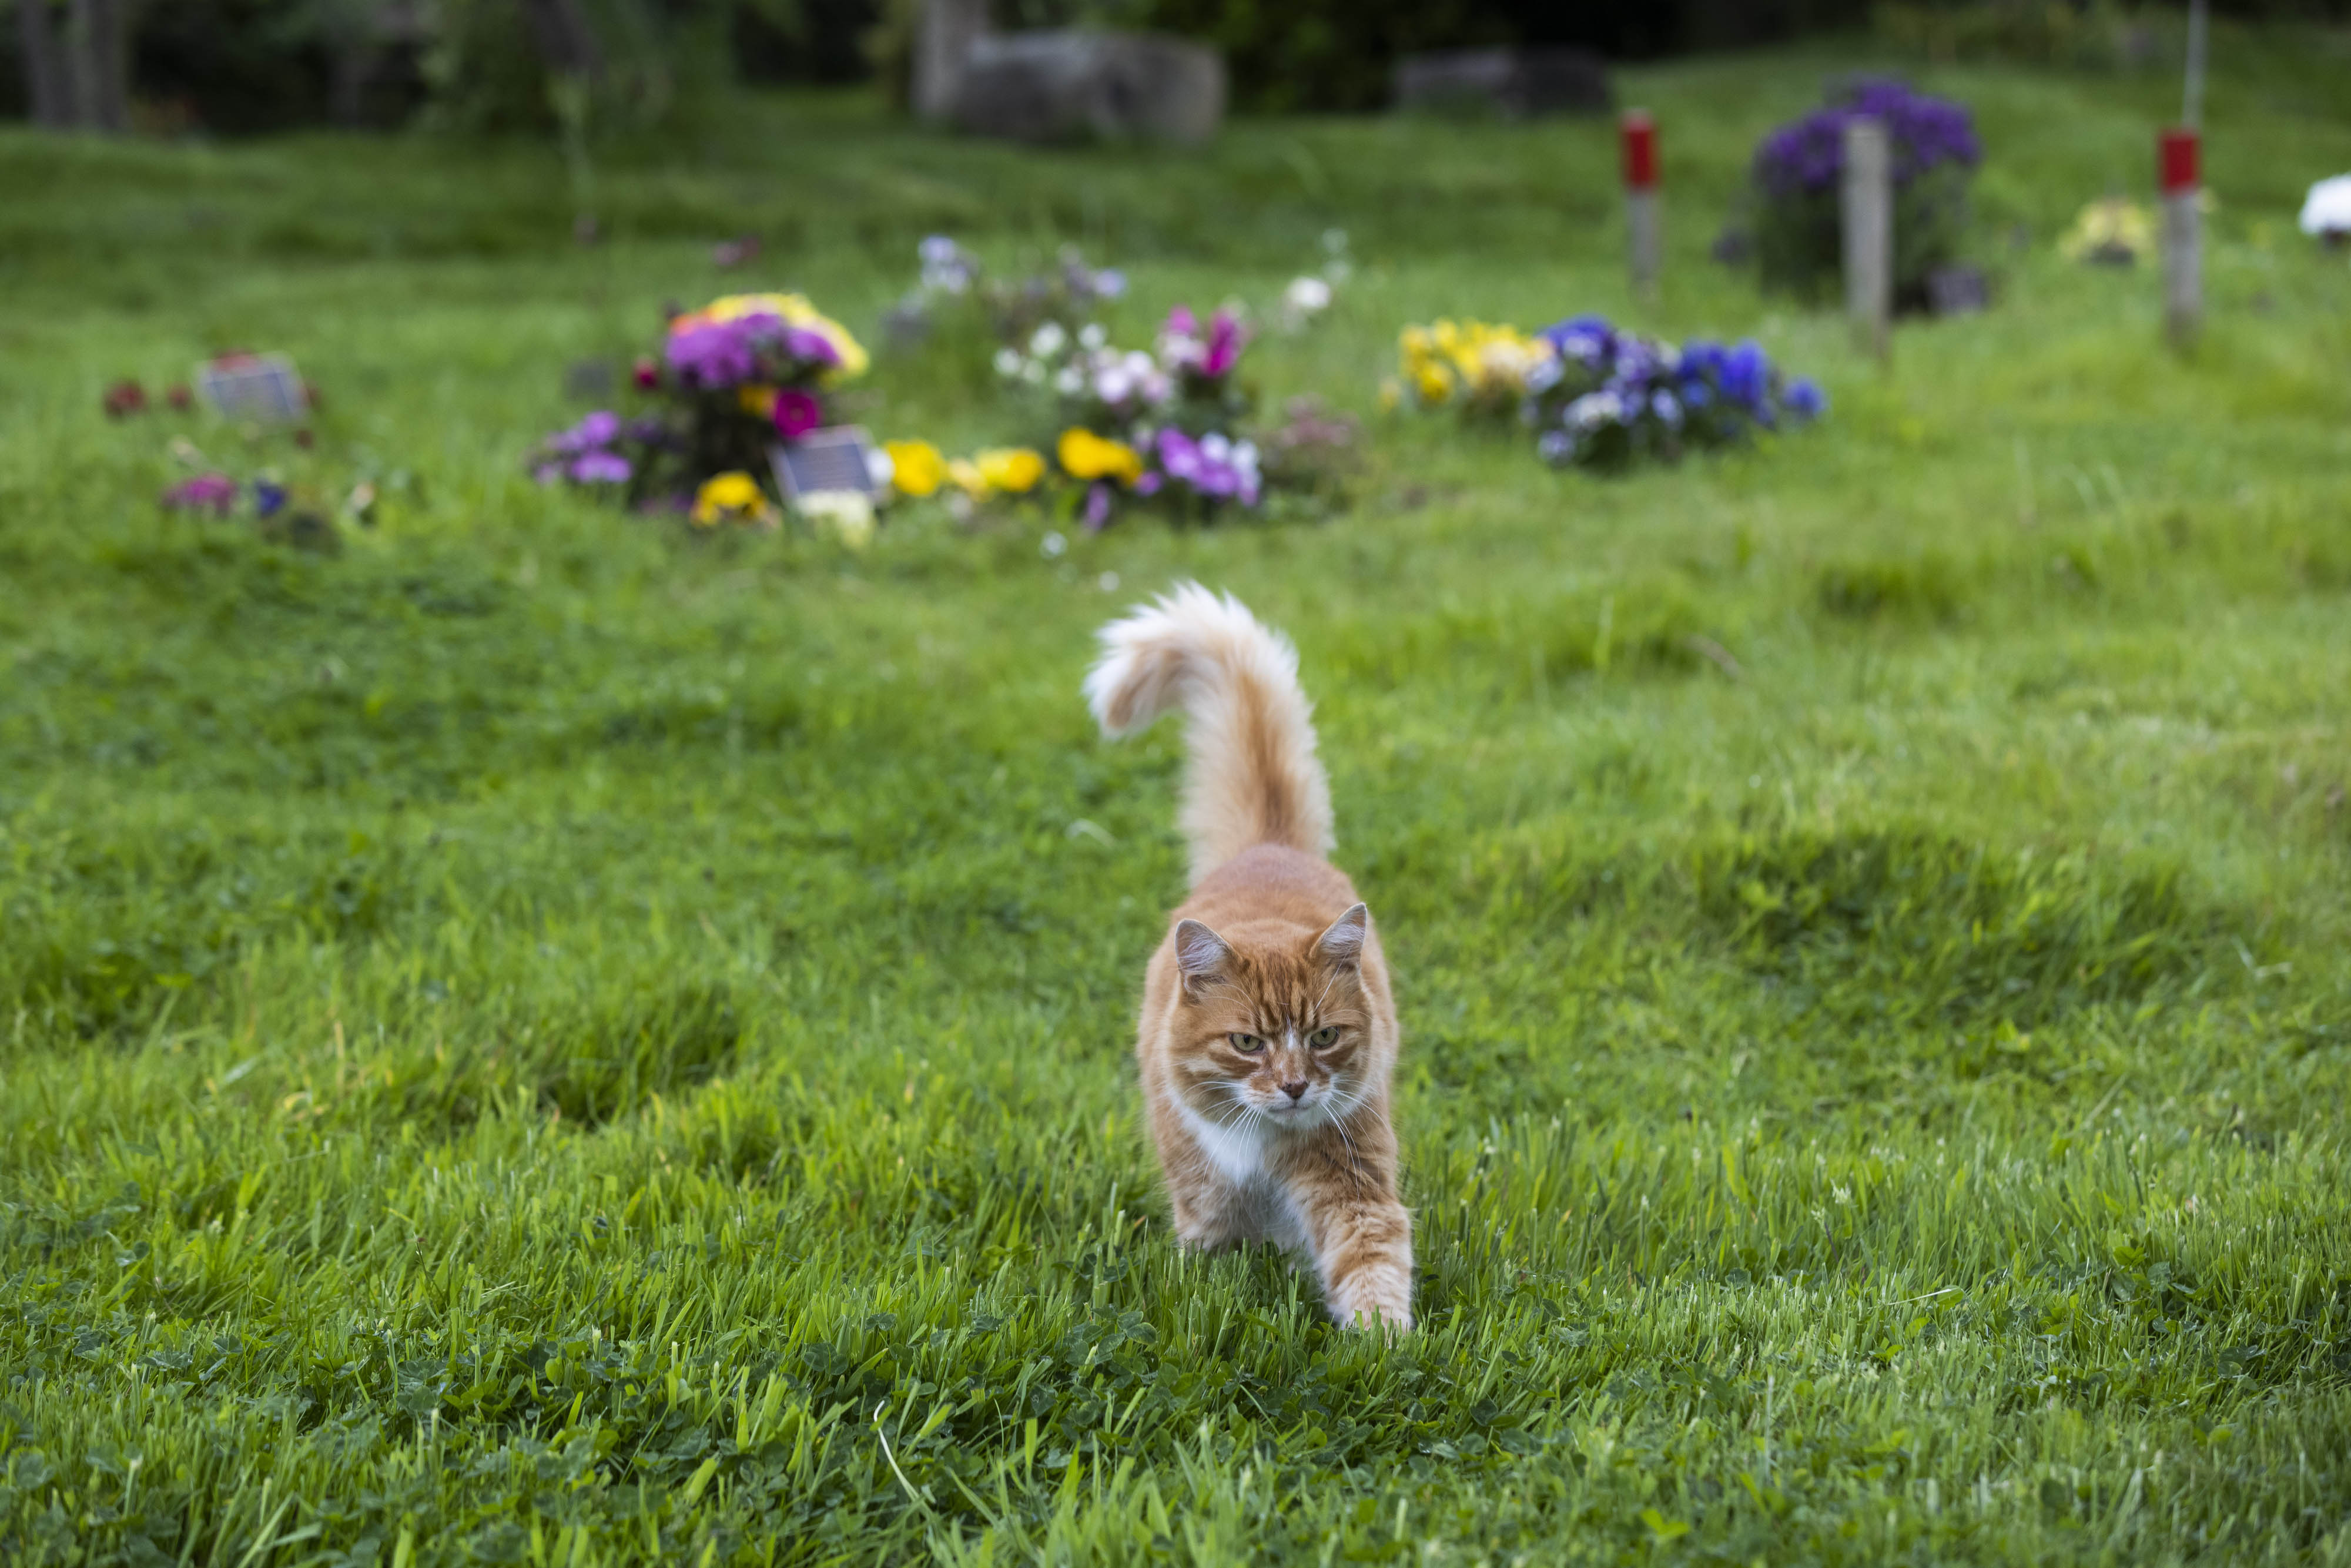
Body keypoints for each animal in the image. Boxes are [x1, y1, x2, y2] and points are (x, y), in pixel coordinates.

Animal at [1086, 583, 1411, 1335]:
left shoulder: (1351, 1175)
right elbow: (1209, 1255)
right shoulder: (1203, 1187)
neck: (1263, 1147)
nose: (1293, 1086)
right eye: (1246, 1043)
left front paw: (1383, 1344)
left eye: (1323, 1037)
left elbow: (1371, 1260)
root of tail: (1268, 844)